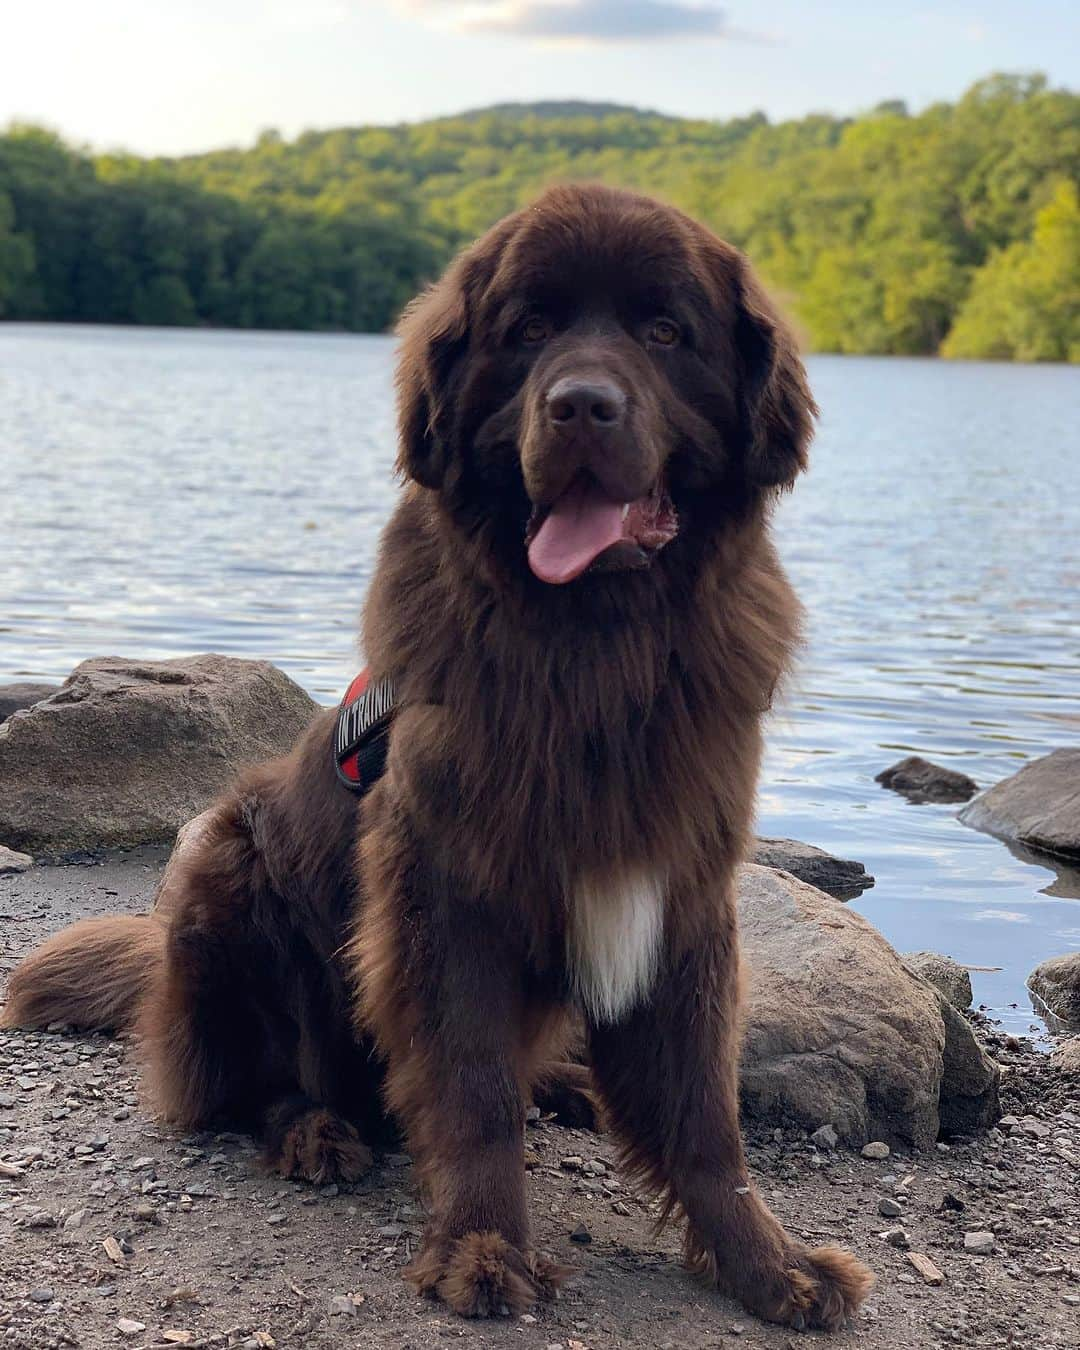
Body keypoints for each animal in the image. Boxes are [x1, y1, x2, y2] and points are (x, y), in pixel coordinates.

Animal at [4, 184, 874, 1333]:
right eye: (530, 329)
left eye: (664, 332)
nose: (581, 406)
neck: (595, 653)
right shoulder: (446, 891)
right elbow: (471, 1090)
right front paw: (482, 1249)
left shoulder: (681, 889)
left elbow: (703, 1117)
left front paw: (770, 1267)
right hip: (224, 873)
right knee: (251, 1085)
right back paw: (315, 1133)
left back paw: (566, 1088)